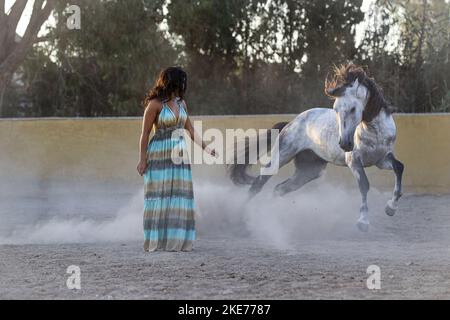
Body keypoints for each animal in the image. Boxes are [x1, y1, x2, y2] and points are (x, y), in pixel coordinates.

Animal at [229, 63, 404, 231]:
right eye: (335, 109)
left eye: (353, 108)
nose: (344, 144)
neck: (374, 131)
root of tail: (291, 123)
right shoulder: (353, 161)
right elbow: (364, 185)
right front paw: (363, 222)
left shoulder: (381, 160)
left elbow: (399, 167)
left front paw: (391, 208)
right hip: (281, 156)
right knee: (258, 184)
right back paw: (242, 216)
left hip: (309, 171)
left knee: (280, 188)